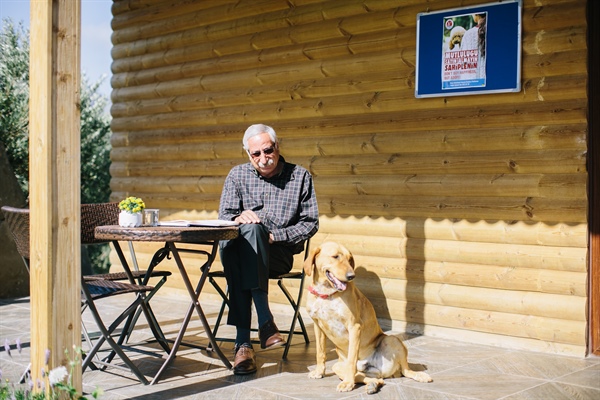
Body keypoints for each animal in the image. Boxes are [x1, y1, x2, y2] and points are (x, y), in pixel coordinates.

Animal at [304, 241, 432, 394]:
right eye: (335, 256)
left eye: (349, 259)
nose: (351, 276)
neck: (327, 294)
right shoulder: (318, 326)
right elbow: (320, 352)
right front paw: (319, 371)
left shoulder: (354, 327)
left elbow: (352, 359)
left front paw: (348, 383)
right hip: (338, 366)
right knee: (369, 377)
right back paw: (372, 384)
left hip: (392, 340)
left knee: (406, 371)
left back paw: (420, 376)